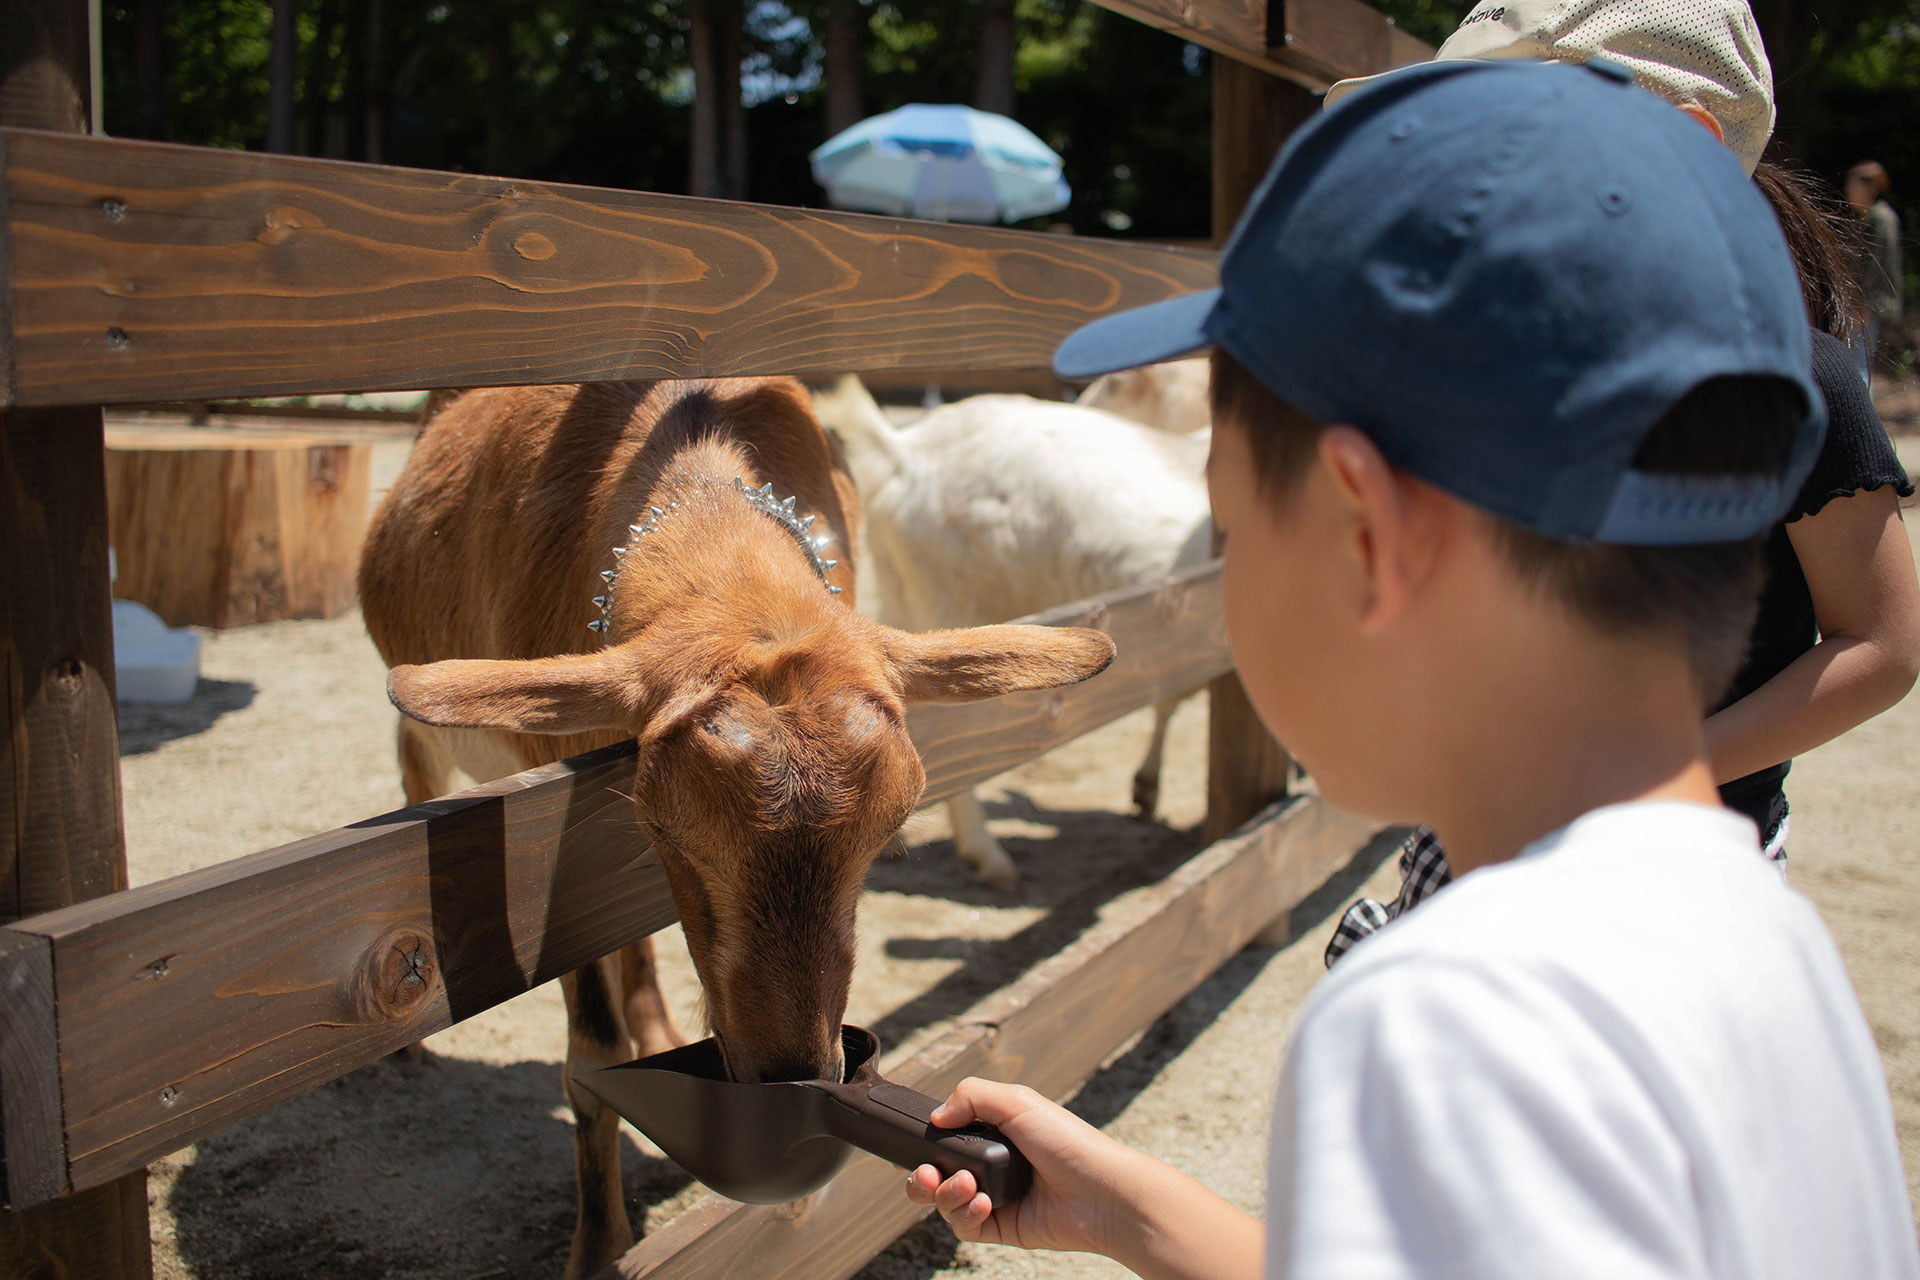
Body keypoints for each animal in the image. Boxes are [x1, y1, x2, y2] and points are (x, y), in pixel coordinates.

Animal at [359, 376, 1113, 1274]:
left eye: (889, 836)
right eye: (664, 830)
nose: (790, 1072)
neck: (687, 469)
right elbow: (592, 1054)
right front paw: (599, 1245)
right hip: (435, 739)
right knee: (413, 768)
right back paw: (409, 1047)